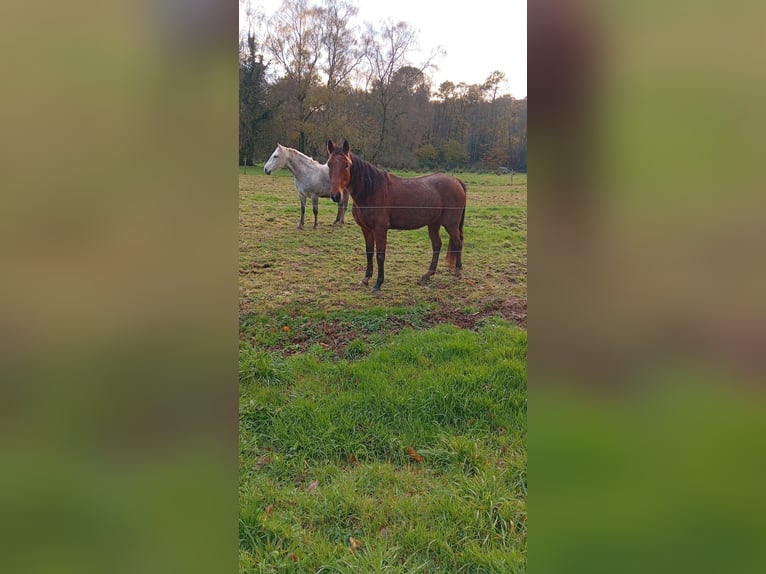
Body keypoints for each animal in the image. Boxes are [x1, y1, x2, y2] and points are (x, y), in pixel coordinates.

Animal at [326, 139, 467, 292]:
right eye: (329, 164)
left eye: (346, 165)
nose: (335, 196)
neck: (371, 191)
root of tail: (457, 181)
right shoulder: (366, 229)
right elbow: (369, 252)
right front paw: (366, 278)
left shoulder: (380, 229)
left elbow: (380, 256)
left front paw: (378, 284)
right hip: (433, 224)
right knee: (437, 245)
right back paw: (428, 274)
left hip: (450, 224)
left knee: (458, 243)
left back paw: (458, 273)